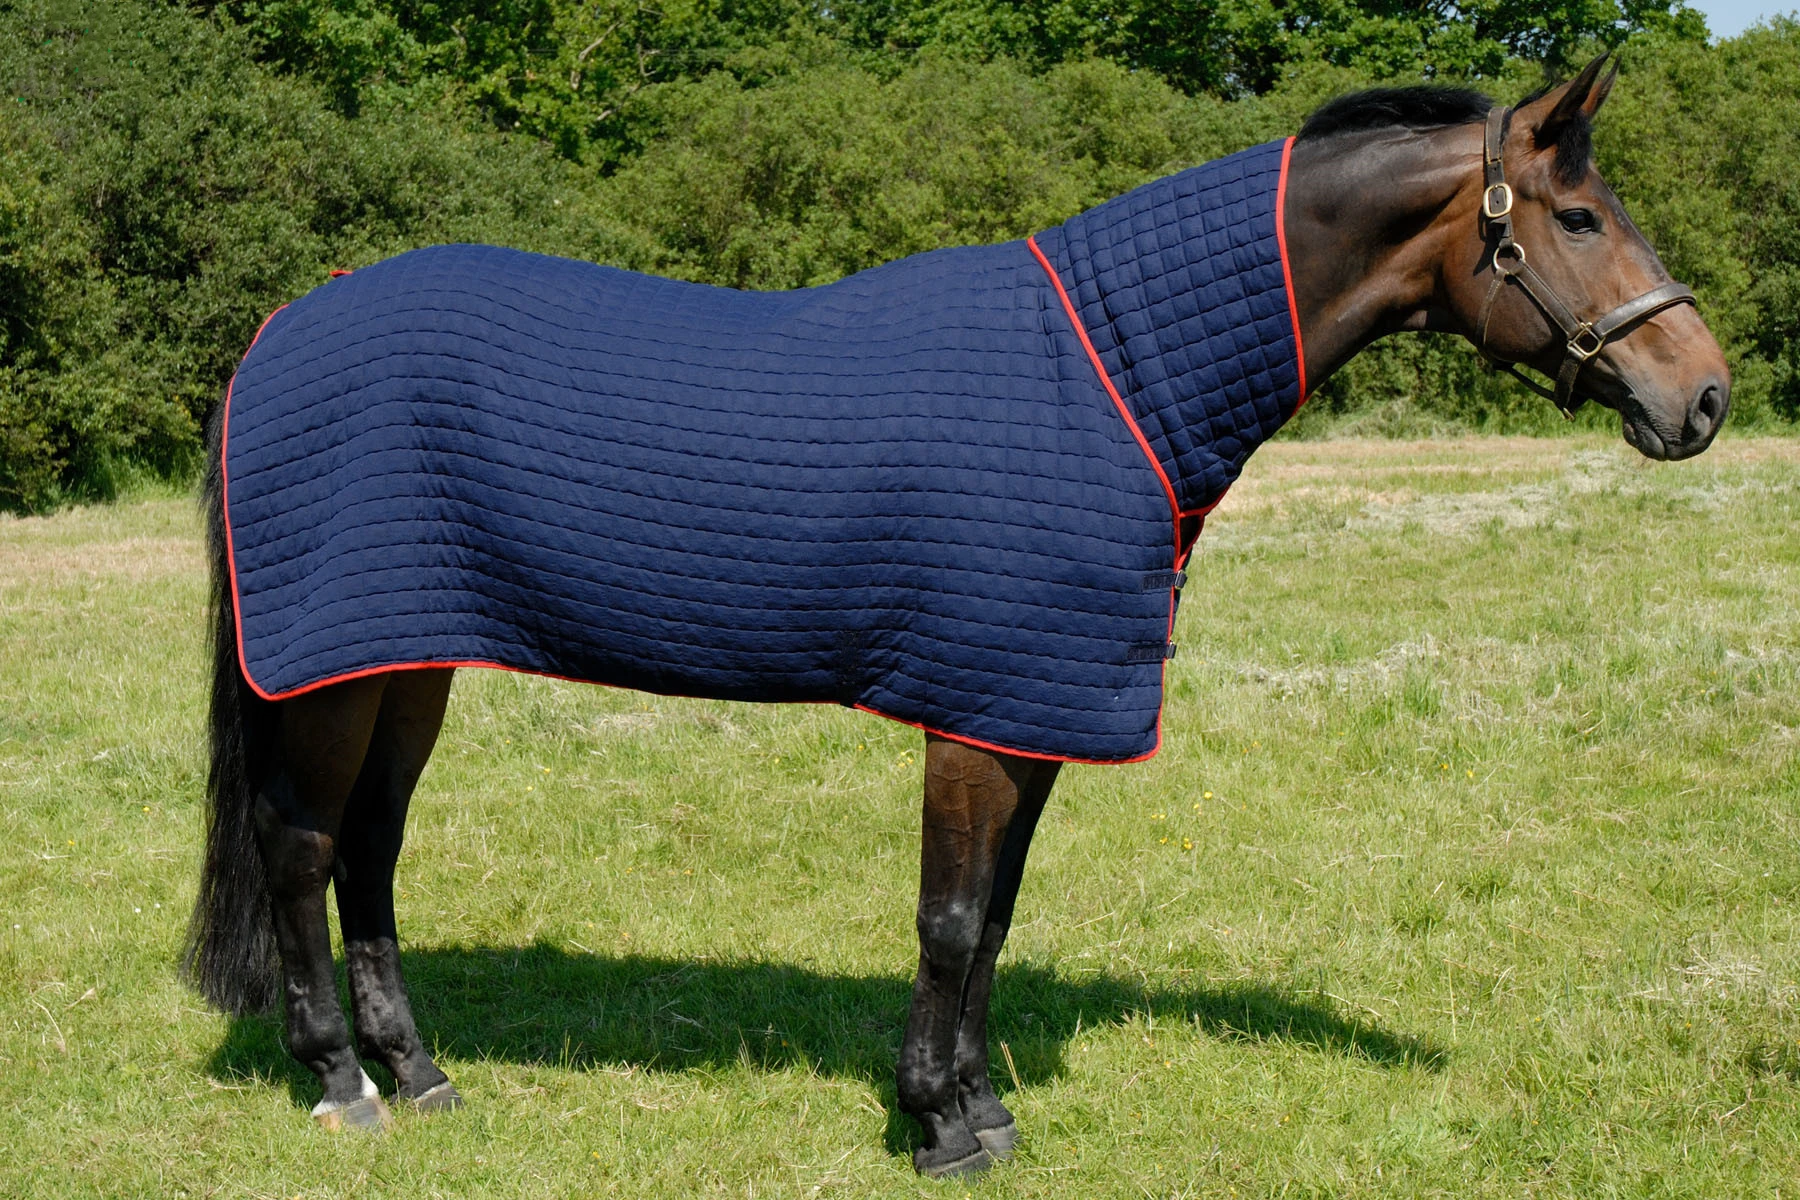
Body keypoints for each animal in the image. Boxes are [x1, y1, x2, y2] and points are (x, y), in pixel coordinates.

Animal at [184, 56, 1728, 1177]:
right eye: (1580, 219)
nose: (1702, 396)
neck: (1111, 373)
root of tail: (280, 331)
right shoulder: (976, 713)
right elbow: (946, 916)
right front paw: (935, 1124)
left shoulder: (1032, 703)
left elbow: (993, 920)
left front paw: (981, 1110)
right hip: (332, 671)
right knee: (302, 852)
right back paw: (343, 1084)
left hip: (406, 656)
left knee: (371, 855)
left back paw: (422, 1075)